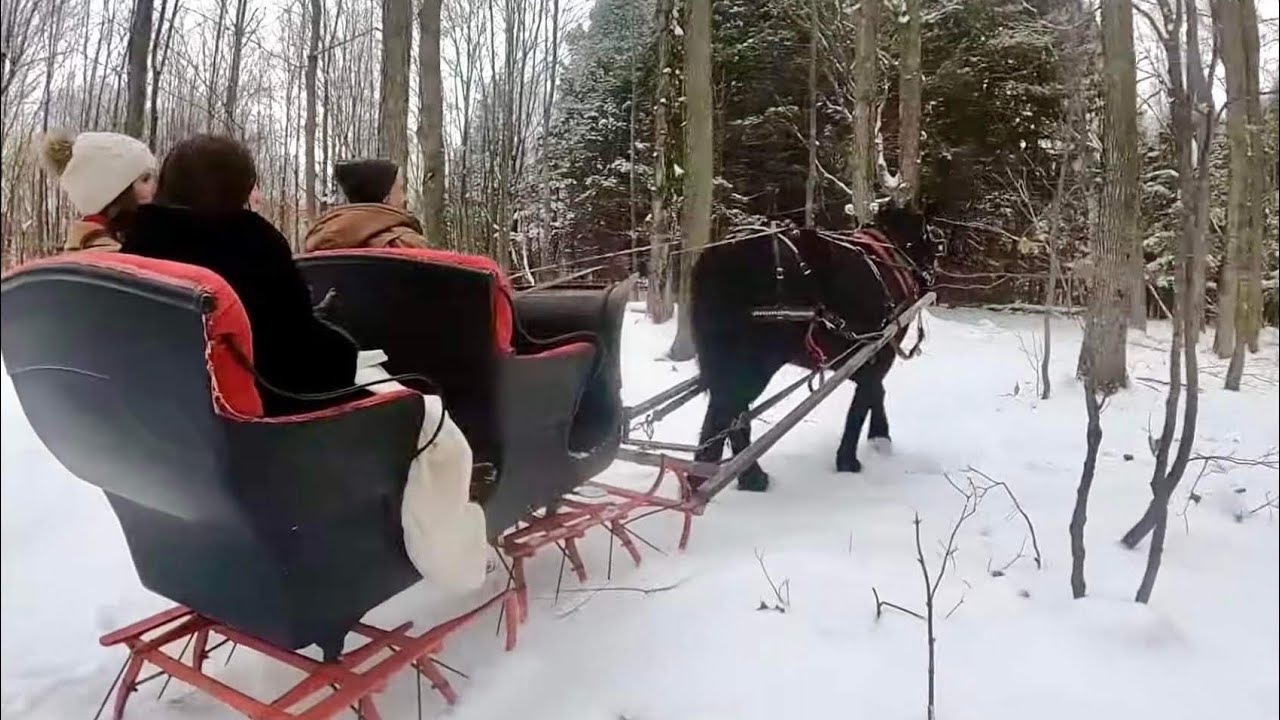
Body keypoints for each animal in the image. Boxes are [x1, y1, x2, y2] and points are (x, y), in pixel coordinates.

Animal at [689, 203, 939, 491]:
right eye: (929, 237)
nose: (931, 276)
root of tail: (723, 254)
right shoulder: (878, 348)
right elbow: (865, 399)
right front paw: (851, 459)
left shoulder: (858, 354)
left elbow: (874, 392)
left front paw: (877, 439)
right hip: (754, 362)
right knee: (728, 411)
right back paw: (740, 477)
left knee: (728, 412)